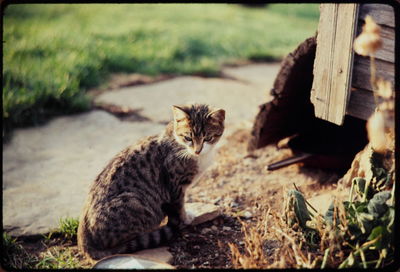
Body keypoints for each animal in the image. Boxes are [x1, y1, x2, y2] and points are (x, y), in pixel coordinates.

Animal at [77, 103, 225, 260]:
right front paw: (186, 218)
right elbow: (179, 206)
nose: (197, 151)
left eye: (207, 138)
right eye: (188, 137)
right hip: (133, 201)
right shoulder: (175, 186)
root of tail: (84, 243)